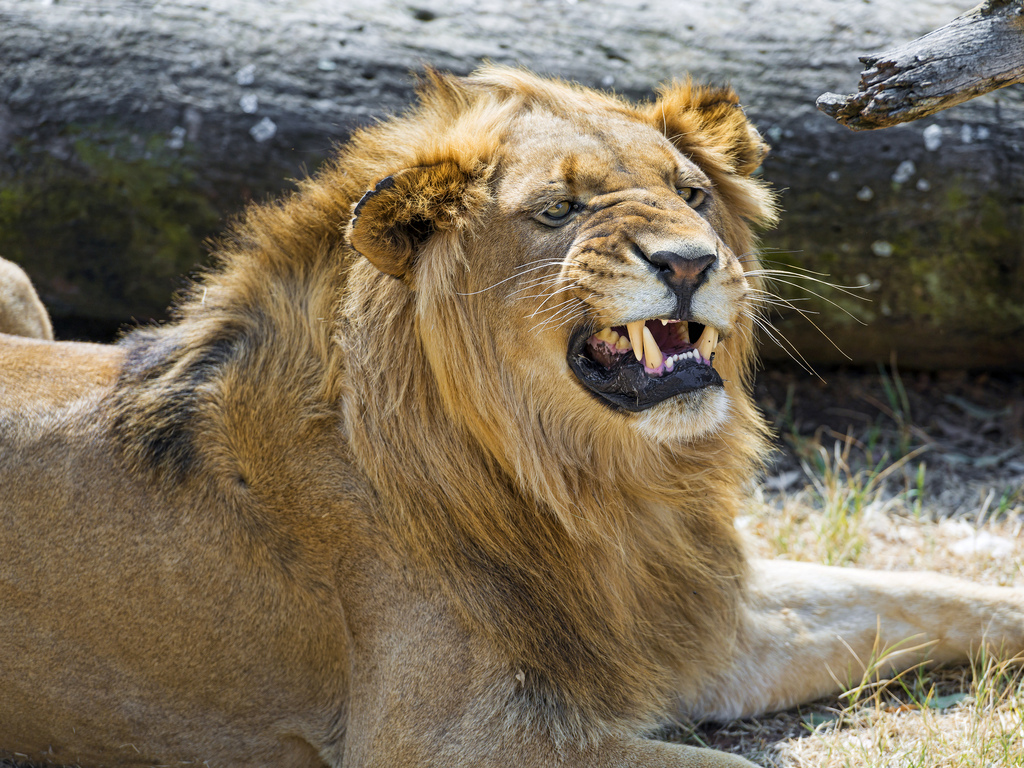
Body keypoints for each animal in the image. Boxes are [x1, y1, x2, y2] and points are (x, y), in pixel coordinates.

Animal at [2, 67, 1024, 768]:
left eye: (693, 194)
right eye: (559, 209)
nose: (691, 261)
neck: (605, 487)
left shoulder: (692, 626)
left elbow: (929, 592)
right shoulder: (443, 739)